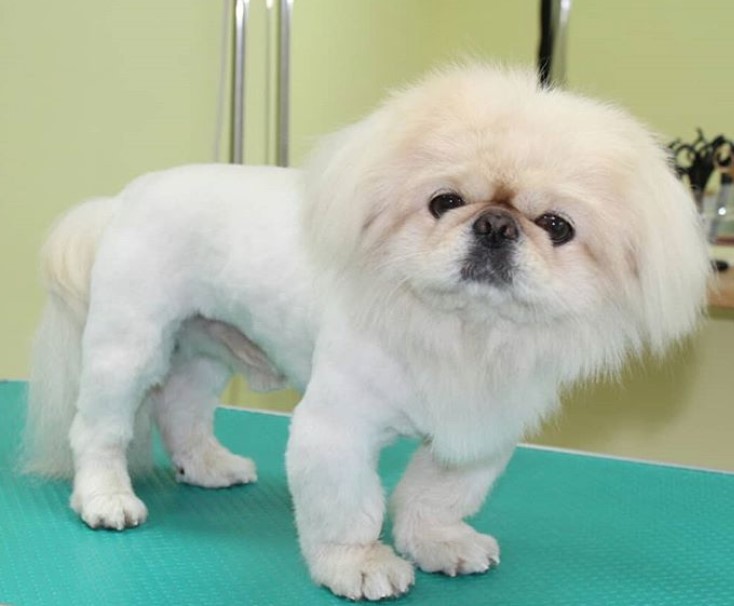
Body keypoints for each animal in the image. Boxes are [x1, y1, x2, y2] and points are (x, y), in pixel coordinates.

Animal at [24, 65, 712, 600]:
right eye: (443, 201)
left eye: (556, 225)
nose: (495, 224)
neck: (462, 332)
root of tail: (122, 200)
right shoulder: (336, 430)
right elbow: (348, 507)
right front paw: (358, 565)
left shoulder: (479, 433)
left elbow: (437, 496)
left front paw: (437, 543)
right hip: (128, 348)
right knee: (99, 431)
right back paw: (105, 499)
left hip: (203, 352)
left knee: (182, 409)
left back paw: (210, 466)